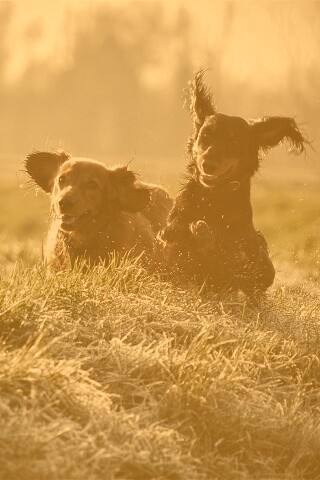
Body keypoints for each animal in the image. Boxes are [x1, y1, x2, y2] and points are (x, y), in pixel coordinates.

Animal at [159, 71, 306, 296]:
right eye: (206, 136)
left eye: (234, 142)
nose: (208, 165)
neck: (213, 196)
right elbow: (178, 230)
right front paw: (175, 230)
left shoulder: (243, 253)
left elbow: (228, 248)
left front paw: (204, 232)